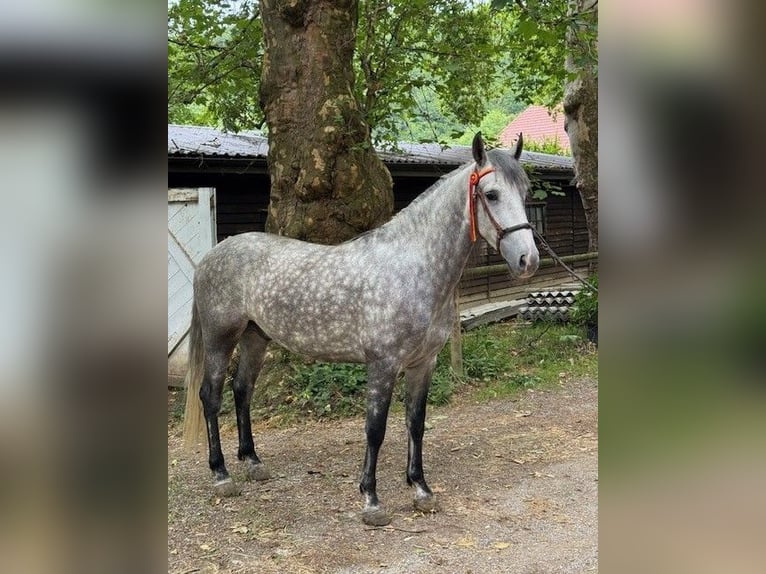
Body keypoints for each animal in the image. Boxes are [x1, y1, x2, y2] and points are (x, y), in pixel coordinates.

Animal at [182, 132, 539, 526]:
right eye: (490, 194)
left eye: (525, 193)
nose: (528, 260)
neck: (413, 267)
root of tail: (211, 257)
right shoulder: (382, 364)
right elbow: (376, 428)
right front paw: (371, 499)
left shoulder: (423, 363)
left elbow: (416, 422)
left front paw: (421, 489)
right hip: (220, 339)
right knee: (210, 397)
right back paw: (221, 475)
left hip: (255, 338)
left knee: (242, 390)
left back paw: (253, 463)